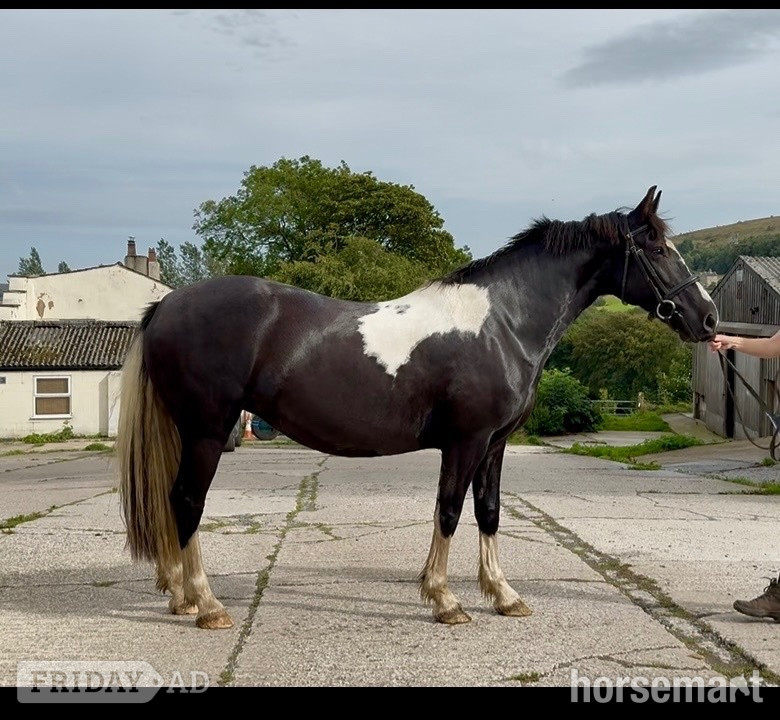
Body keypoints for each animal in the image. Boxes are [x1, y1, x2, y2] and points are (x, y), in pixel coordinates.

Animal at [116, 186, 718, 629]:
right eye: (658, 249)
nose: (708, 319)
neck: (502, 323)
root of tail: (166, 304)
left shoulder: (495, 444)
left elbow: (489, 511)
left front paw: (504, 595)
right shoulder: (465, 441)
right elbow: (448, 511)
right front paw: (445, 600)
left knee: (173, 501)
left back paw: (180, 597)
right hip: (207, 431)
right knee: (187, 501)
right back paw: (207, 605)